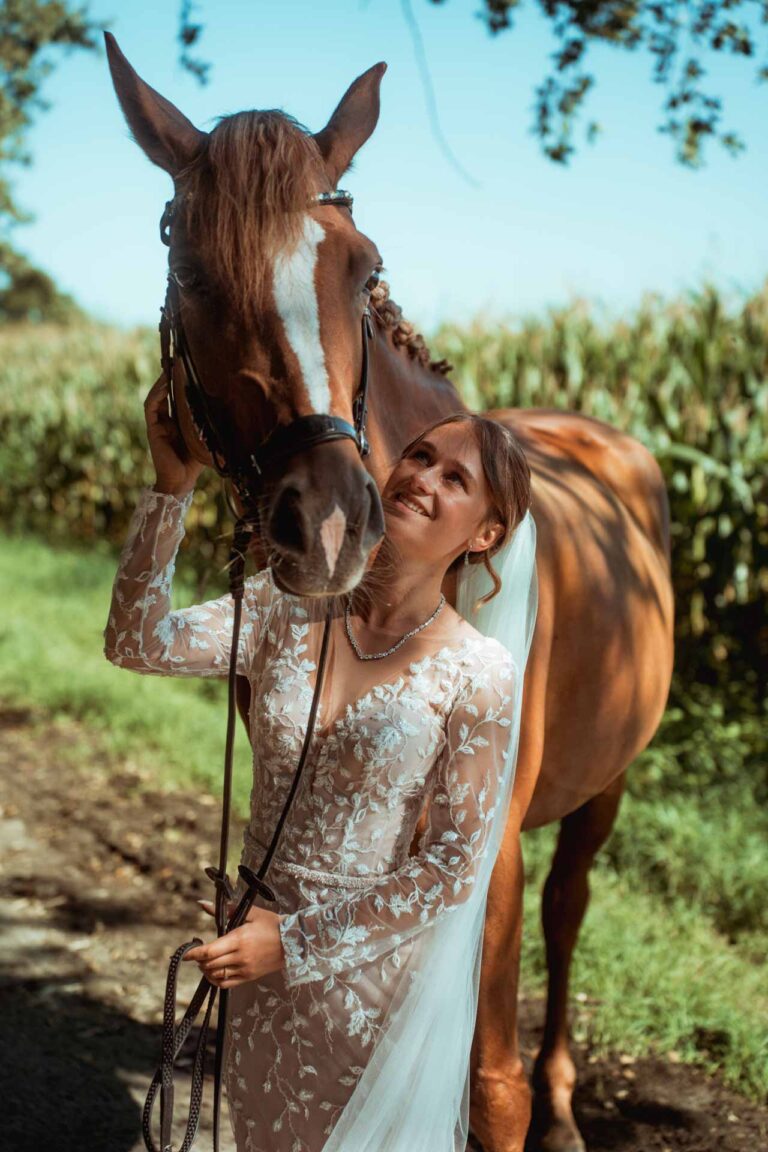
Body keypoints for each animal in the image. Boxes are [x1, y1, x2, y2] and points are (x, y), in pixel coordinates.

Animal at [106, 36, 672, 1152]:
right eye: (190, 272)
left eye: (362, 267)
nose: (330, 524)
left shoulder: (485, 858)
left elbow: (489, 1085)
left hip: (605, 789)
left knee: (570, 910)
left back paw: (565, 1106)